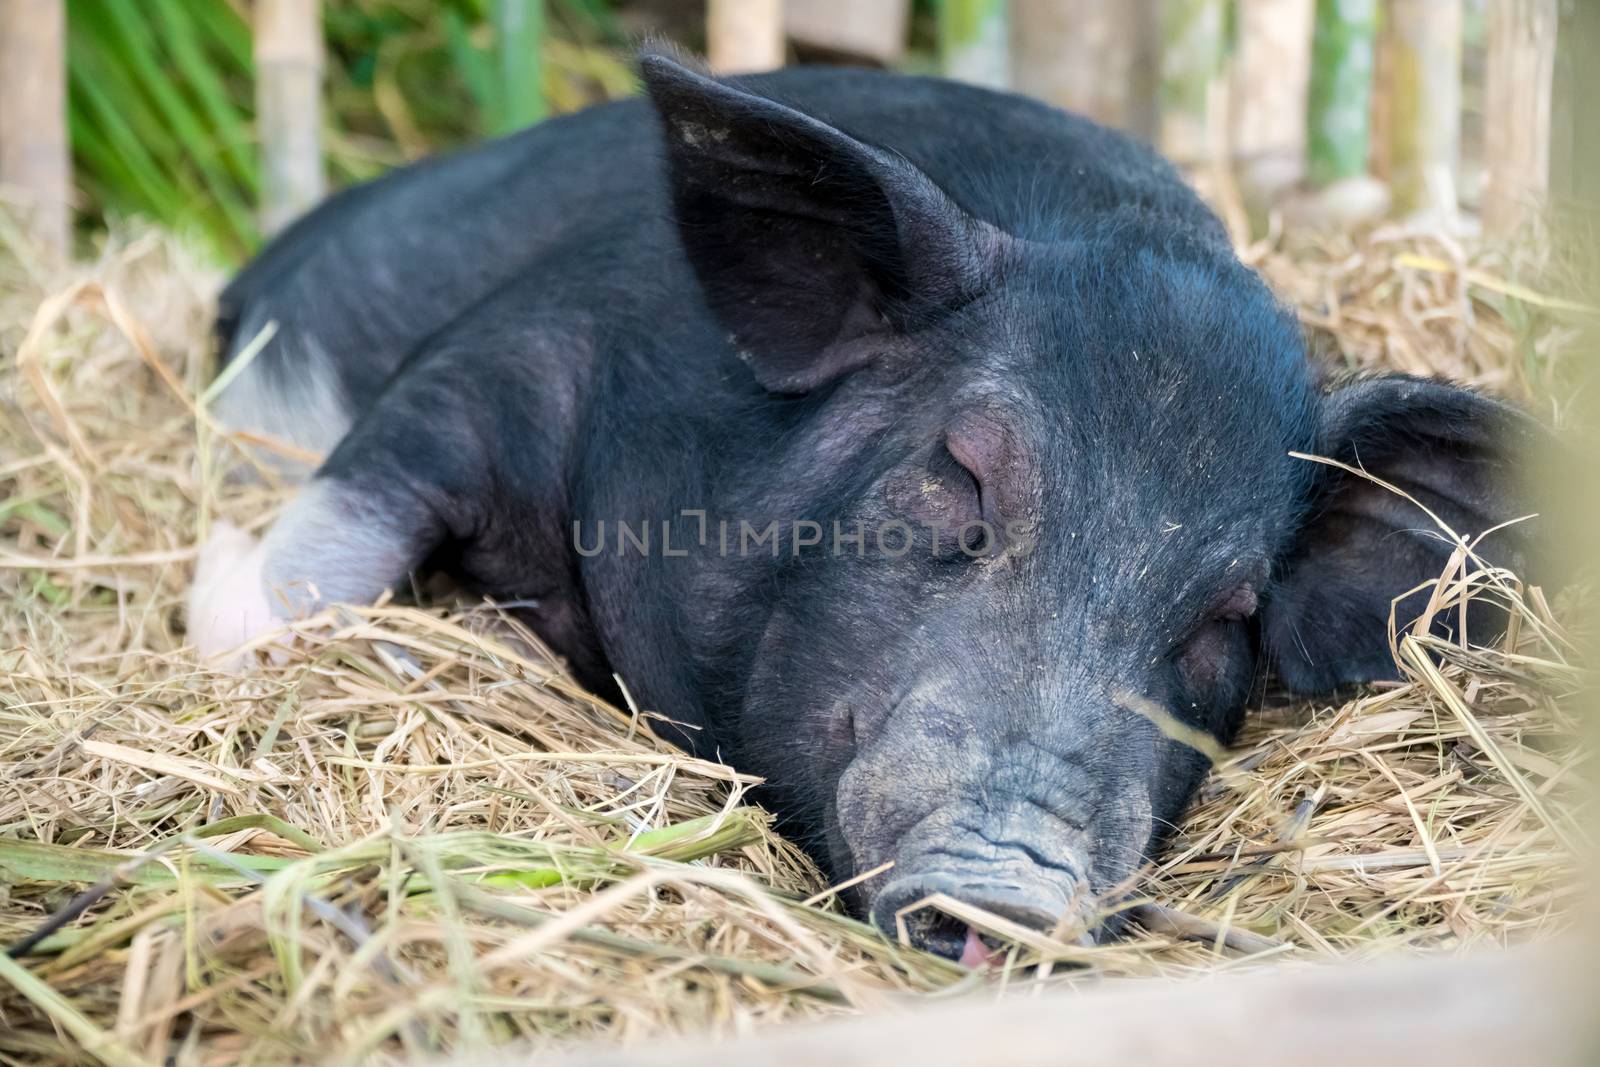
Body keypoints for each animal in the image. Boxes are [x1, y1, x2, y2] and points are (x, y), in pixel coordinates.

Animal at [193, 54, 1542, 966]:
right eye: (963, 473)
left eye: (1230, 612)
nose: (1008, 889)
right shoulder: (503, 354)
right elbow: (346, 520)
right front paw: (229, 622)